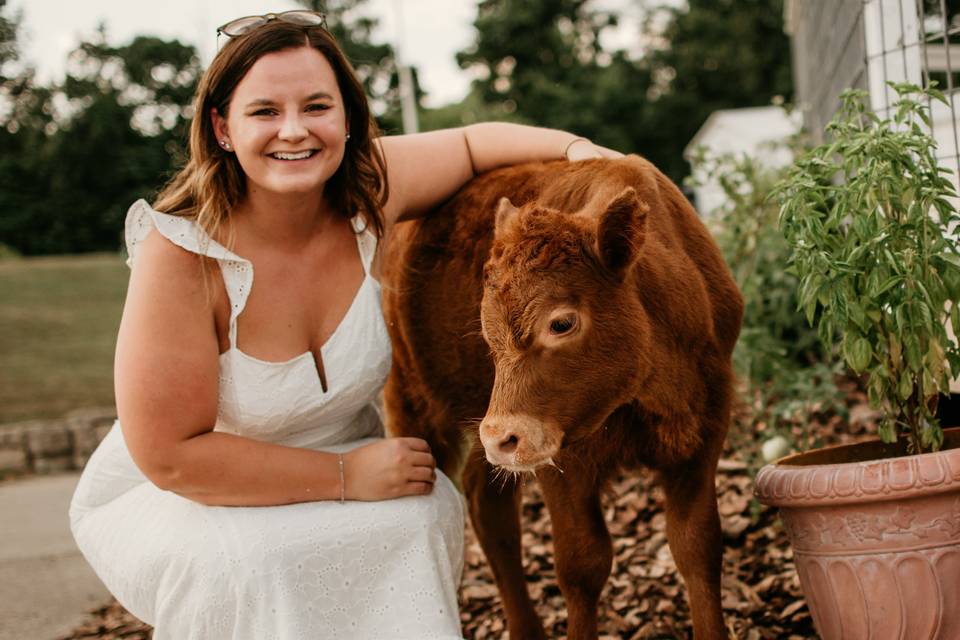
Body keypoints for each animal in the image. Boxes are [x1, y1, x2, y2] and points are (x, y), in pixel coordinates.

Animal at [382, 156, 744, 640]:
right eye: (486, 330)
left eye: (561, 323)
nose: (502, 438)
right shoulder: (562, 461)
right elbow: (582, 564)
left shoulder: (703, 437)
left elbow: (697, 546)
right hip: (414, 403)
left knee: (489, 508)